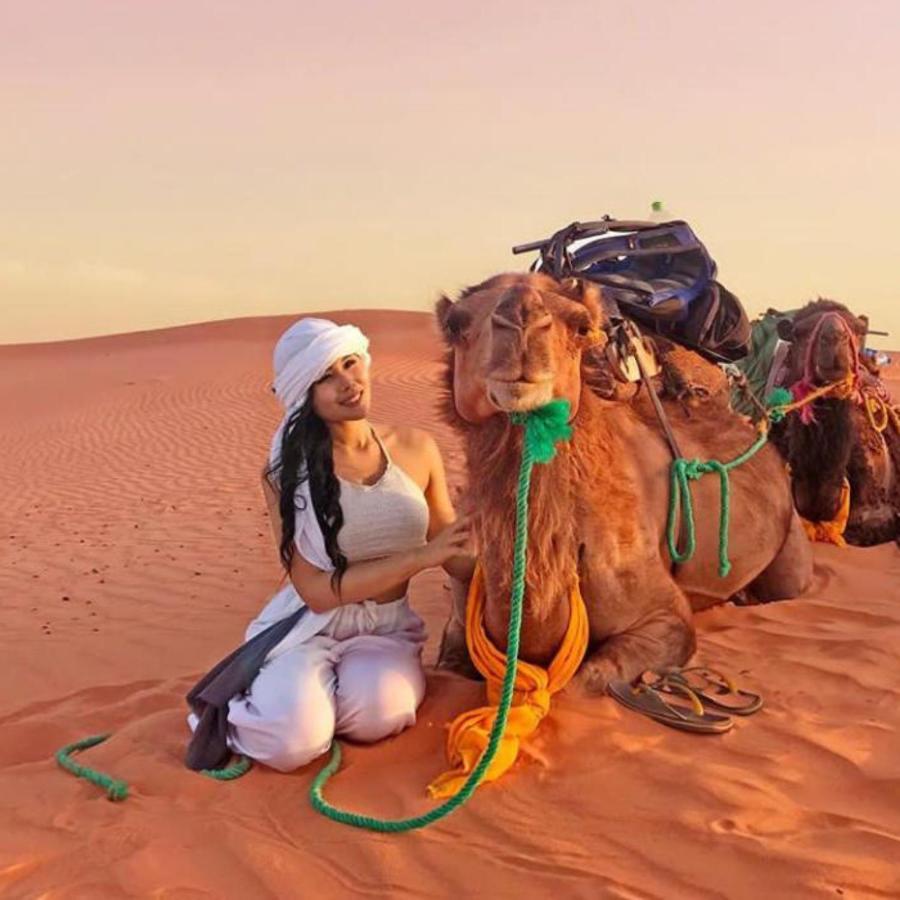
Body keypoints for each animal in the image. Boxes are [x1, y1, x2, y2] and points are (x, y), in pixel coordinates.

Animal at [432, 270, 812, 692]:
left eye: (581, 326)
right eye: (454, 324)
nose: (522, 315)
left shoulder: (664, 617)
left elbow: (585, 683)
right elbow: (448, 664)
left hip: (792, 542)